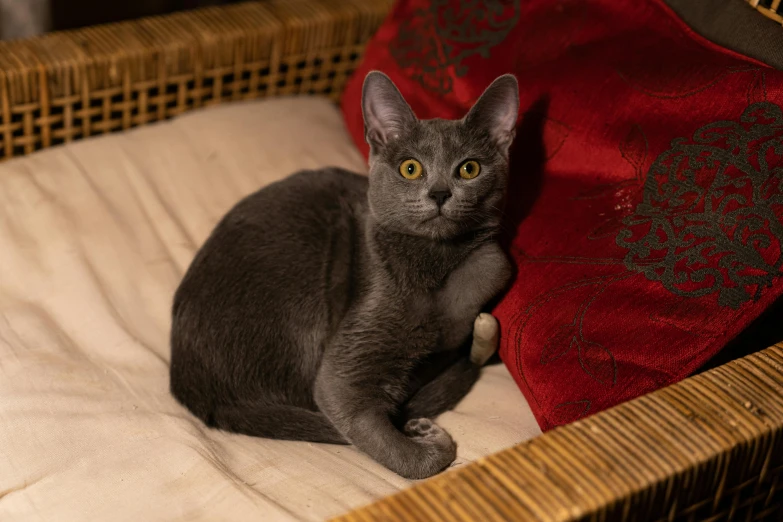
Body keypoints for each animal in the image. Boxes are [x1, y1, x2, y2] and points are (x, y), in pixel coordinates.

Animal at [168, 71, 516, 478]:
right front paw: (430, 440)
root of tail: (196, 391)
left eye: (469, 168)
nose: (441, 193)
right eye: (410, 168)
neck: (435, 263)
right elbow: (383, 435)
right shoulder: (348, 363)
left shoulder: (488, 264)